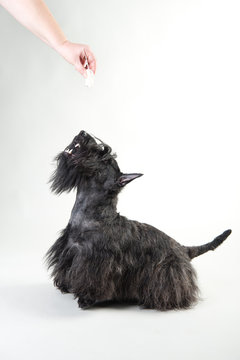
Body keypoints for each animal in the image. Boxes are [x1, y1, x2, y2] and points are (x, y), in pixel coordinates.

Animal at [46, 131, 232, 310]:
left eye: (105, 158)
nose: (83, 133)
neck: (92, 216)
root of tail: (183, 249)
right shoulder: (69, 250)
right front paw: (65, 285)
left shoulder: (96, 261)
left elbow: (92, 282)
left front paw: (86, 299)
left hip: (168, 271)